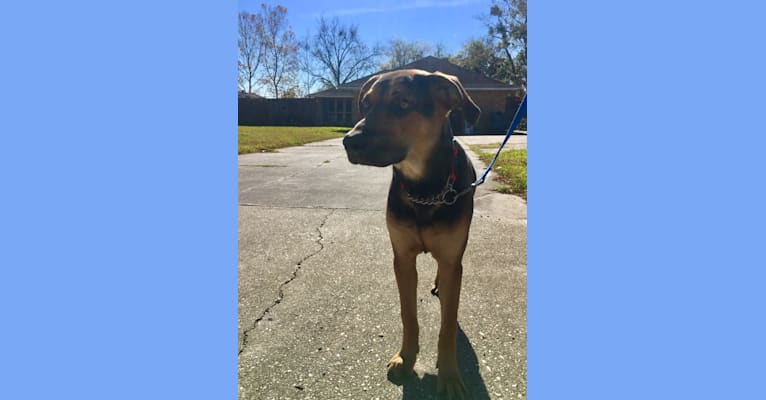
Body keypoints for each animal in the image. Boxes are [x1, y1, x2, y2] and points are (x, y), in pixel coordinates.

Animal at [346, 69, 484, 400]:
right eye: (366, 104)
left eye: (404, 103)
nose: (348, 141)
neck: (423, 188)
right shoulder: (403, 258)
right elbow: (408, 314)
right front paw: (405, 358)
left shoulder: (451, 259)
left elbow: (448, 326)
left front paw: (449, 376)